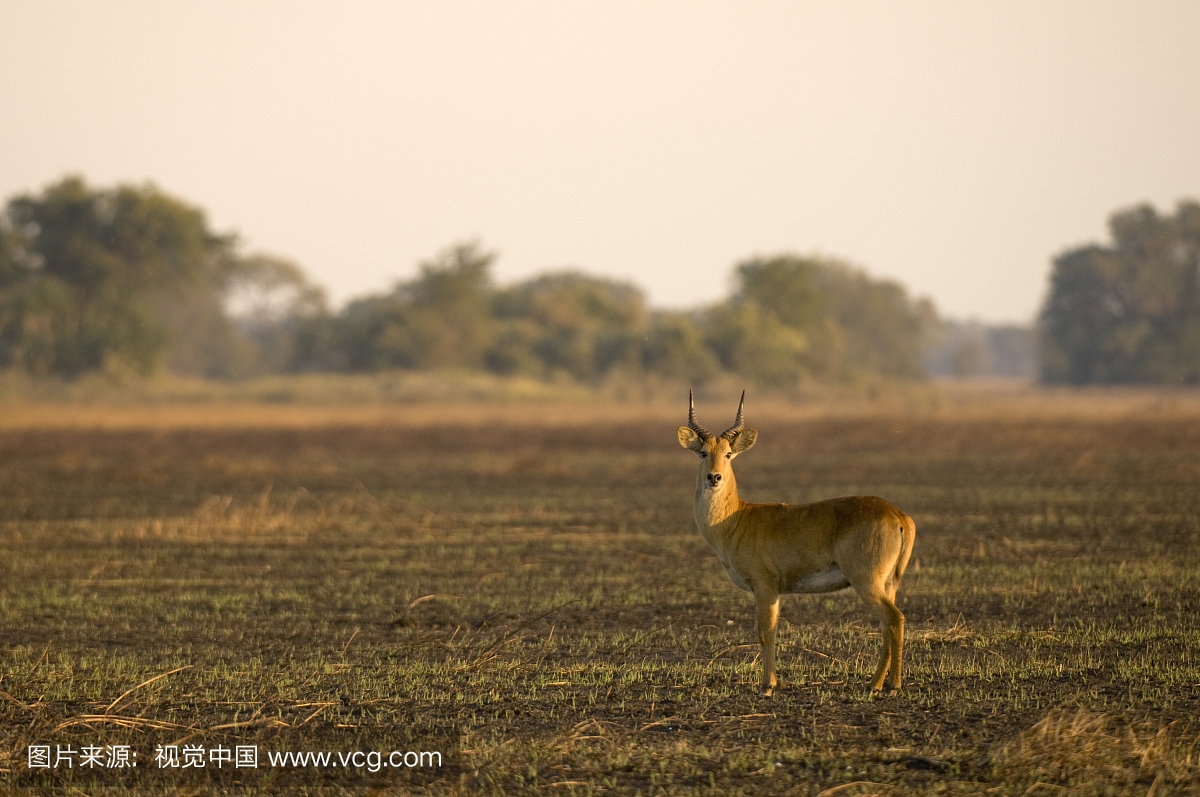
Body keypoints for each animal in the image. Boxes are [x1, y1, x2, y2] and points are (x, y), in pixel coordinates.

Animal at [681, 391, 912, 696]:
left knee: (894, 620)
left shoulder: (764, 586)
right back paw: (874, 684)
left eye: (728, 453)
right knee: (887, 624)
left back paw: (892, 686)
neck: (737, 517)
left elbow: (765, 631)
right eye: (704, 452)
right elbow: (771, 630)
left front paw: (767, 686)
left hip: (867, 582)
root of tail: (899, 516)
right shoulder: (775, 591)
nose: (714, 477)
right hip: (888, 583)